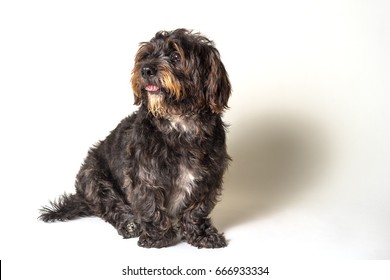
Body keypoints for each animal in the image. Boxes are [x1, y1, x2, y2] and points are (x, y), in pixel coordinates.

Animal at [38, 27, 232, 247]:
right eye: (145, 56)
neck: (179, 121)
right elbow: (150, 202)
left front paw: (201, 234)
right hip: (93, 176)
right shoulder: (143, 172)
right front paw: (157, 236)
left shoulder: (208, 177)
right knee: (110, 204)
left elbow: (196, 209)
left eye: (175, 56)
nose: (146, 70)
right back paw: (129, 223)